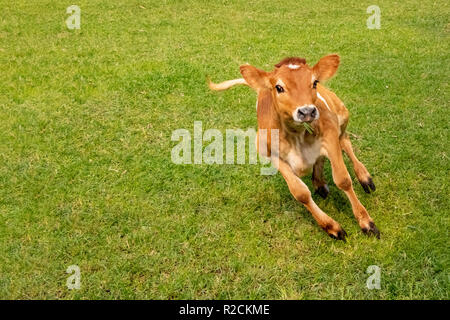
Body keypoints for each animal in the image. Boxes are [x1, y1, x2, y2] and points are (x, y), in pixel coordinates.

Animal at [210, 55, 380, 240]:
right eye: (279, 87)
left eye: (314, 82)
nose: (307, 111)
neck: (297, 136)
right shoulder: (273, 155)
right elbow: (300, 192)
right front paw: (331, 227)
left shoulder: (330, 134)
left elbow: (343, 179)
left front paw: (366, 222)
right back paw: (320, 183)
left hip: (341, 114)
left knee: (345, 141)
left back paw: (364, 178)